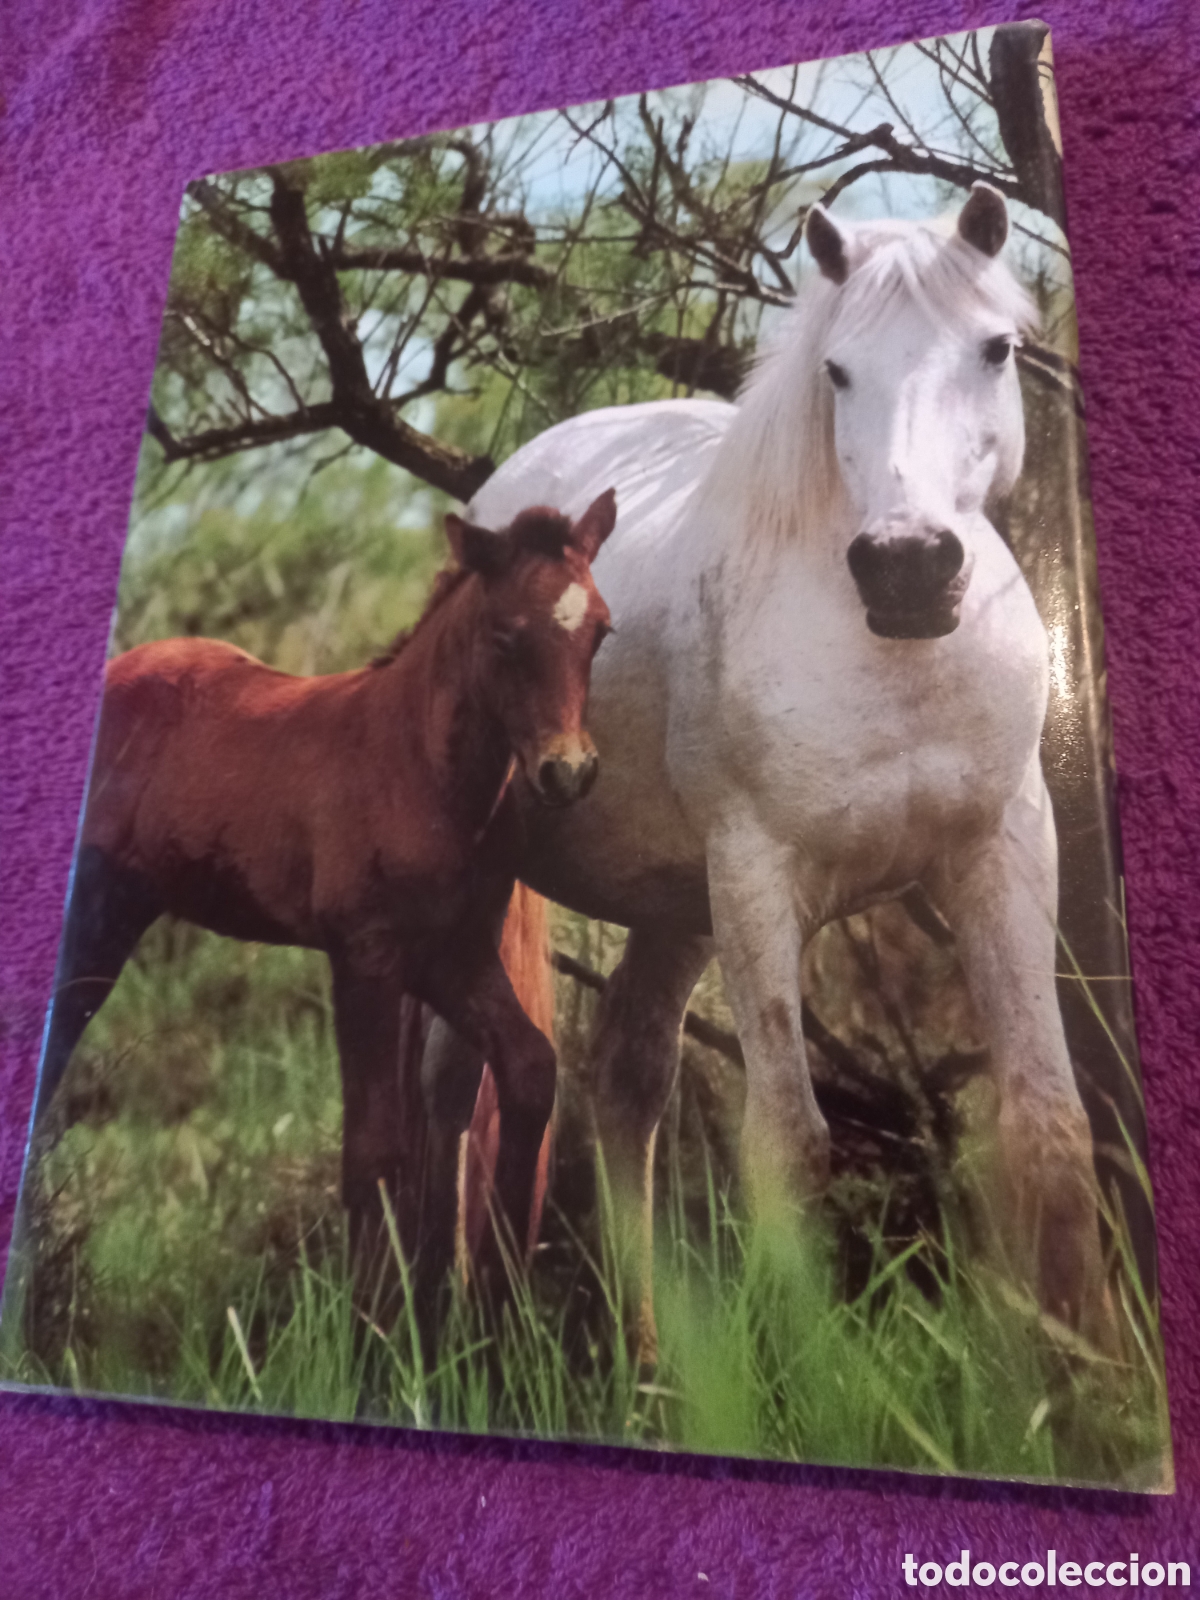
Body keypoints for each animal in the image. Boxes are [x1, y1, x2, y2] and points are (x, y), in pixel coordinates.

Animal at [33, 492, 616, 1317]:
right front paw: (370, 1331)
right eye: (505, 637)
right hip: (93, 917)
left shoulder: (457, 957)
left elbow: (531, 1072)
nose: (567, 772)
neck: (418, 769)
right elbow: (372, 1152)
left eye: (600, 630)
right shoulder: (365, 958)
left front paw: (498, 1317)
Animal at [443, 183, 1109, 1357]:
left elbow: (1048, 1127)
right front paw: (811, 1368)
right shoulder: (757, 876)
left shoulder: (1003, 851)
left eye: (995, 348)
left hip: (677, 911)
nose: (908, 569)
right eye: (837, 370)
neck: (894, 667)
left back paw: (652, 1359)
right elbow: (790, 1144)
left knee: (625, 1078)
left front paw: (1086, 1382)